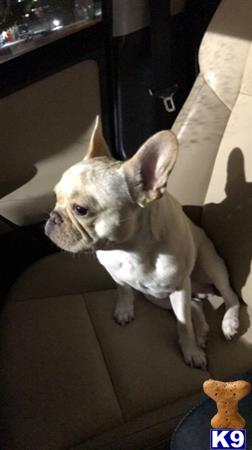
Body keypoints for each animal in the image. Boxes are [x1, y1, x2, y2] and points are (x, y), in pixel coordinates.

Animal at [45, 117, 240, 370]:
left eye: (81, 210)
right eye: (55, 197)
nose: (53, 218)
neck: (130, 249)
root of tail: (202, 290)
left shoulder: (178, 288)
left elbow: (183, 324)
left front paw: (190, 350)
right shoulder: (117, 274)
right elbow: (123, 290)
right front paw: (124, 310)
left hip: (209, 264)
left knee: (229, 296)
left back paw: (228, 323)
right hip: (157, 297)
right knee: (195, 306)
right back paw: (202, 330)